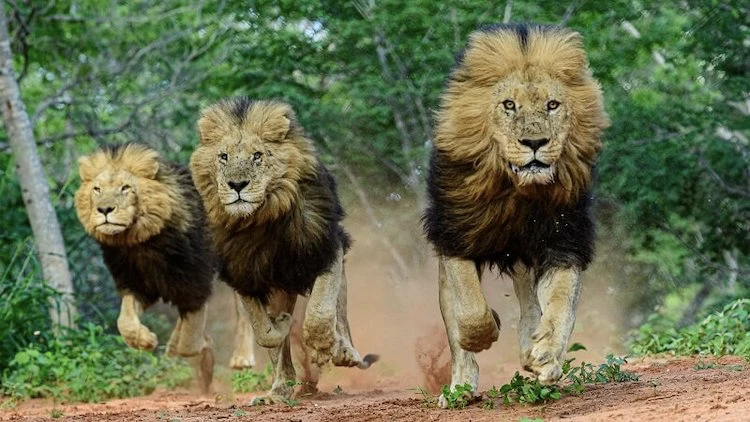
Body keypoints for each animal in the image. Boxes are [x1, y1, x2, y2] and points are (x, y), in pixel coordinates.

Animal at [75, 144, 260, 392]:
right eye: (97, 189)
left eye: (125, 188)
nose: (104, 209)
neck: (139, 242)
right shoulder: (137, 285)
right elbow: (125, 321)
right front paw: (145, 341)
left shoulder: (194, 283)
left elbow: (190, 341)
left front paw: (202, 348)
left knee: (244, 313)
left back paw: (242, 358)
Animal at [191, 97, 378, 404]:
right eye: (223, 156)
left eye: (257, 155)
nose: (237, 185)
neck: (261, 220)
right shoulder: (243, 273)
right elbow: (264, 332)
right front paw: (279, 326)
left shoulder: (327, 248)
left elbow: (320, 312)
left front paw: (324, 347)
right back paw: (279, 390)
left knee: (339, 311)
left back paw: (343, 351)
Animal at [424, 23, 612, 408]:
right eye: (508, 105)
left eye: (552, 105)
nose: (535, 143)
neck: (517, 191)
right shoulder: (455, 236)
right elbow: (470, 310)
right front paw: (485, 332)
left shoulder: (562, 241)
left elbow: (561, 302)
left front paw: (547, 355)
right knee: (456, 321)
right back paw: (459, 388)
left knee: (529, 306)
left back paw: (531, 349)